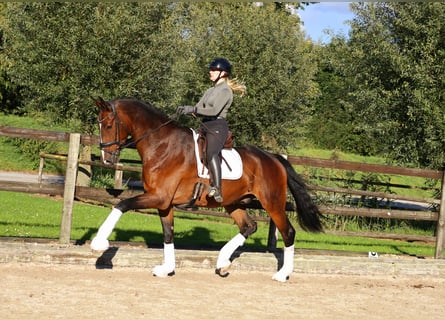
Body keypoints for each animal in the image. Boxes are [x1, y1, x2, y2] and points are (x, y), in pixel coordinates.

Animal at [91, 96, 322, 282]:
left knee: (287, 232)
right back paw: (223, 262)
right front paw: (167, 269)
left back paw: (282, 274)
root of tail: (273, 158)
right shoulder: (164, 203)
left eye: (109, 125)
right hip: (233, 203)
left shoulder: (159, 197)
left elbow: (122, 204)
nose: (106, 158)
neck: (161, 145)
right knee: (249, 226)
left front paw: (99, 242)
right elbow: (168, 234)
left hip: (272, 202)